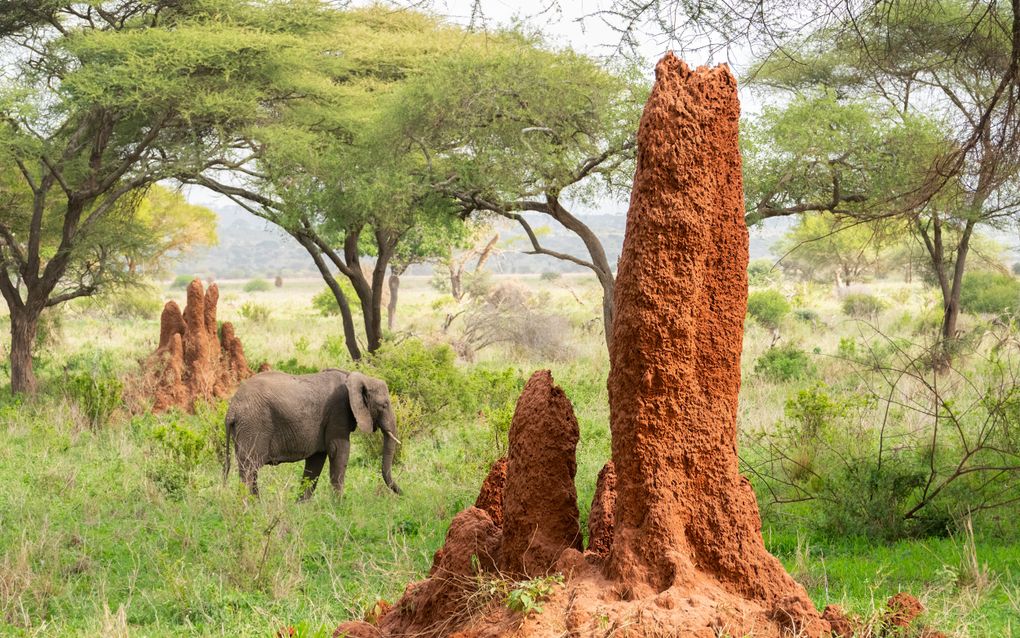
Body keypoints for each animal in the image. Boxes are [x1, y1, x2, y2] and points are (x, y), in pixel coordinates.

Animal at [223, 367, 401, 498]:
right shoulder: (338, 412)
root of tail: (232, 409)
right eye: (384, 405)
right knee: (249, 469)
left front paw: (301, 508)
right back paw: (248, 509)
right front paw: (340, 507)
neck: (354, 376)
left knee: (250, 470)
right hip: (253, 425)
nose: (402, 494)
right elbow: (339, 450)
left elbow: (316, 461)